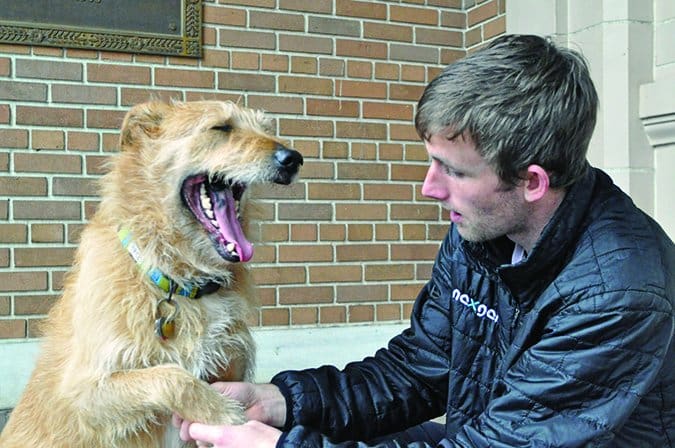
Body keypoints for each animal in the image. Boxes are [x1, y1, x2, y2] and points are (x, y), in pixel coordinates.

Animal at [0, 101, 304, 448]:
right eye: (220, 127)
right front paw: (224, 413)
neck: (181, 281)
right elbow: (171, 376)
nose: (293, 159)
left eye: (266, 128)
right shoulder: (80, 393)